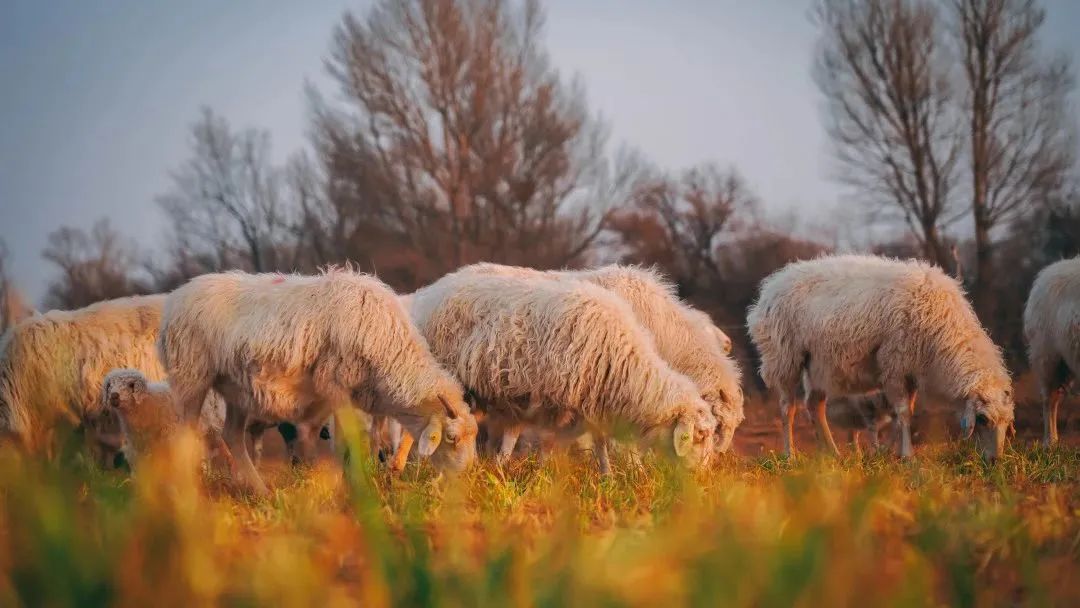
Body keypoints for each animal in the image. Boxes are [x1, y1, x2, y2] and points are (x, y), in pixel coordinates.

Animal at [158, 271, 477, 494]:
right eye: (451, 438)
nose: (468, 477)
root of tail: (175, 298)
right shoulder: (335, 387)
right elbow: (345, 443)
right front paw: (354, 489)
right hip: (191, 377)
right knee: (185, 434)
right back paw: (188, 492)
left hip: (236, 388)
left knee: (233, 436)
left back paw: (261, 491)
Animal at [406, 272, 717, 475]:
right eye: (700, 435)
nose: (703, 477)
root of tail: (429, 292)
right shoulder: (556, 402)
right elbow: (550, 443)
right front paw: (546, 475)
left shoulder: (592, 404)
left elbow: (600, 442)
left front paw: (607, 476)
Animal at [747, 254, 1015, 460]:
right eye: (982, 419)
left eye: (1007, 422)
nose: (995, 461)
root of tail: (772, 285)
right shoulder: (894, 363)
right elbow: (903, 412)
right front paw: (908, 456)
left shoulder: (909, 371)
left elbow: (905, 412)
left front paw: (894, 453)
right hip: (785, 358)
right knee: (787, 408)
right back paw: (790, 455)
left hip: (820, 364)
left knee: (815, 405)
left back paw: (832, 454)